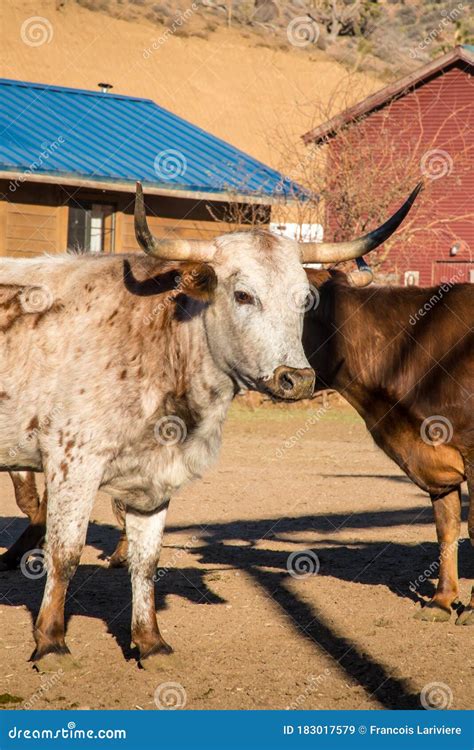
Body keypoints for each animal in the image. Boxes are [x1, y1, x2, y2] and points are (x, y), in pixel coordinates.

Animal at [0, 182, 415, 670]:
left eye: (303, 299)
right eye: (243, 296)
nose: (296, 379)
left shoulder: (154, 475)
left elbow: (146, 560)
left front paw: (150, 641)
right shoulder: (72, 462)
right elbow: (64, 554)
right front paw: (51, 642)